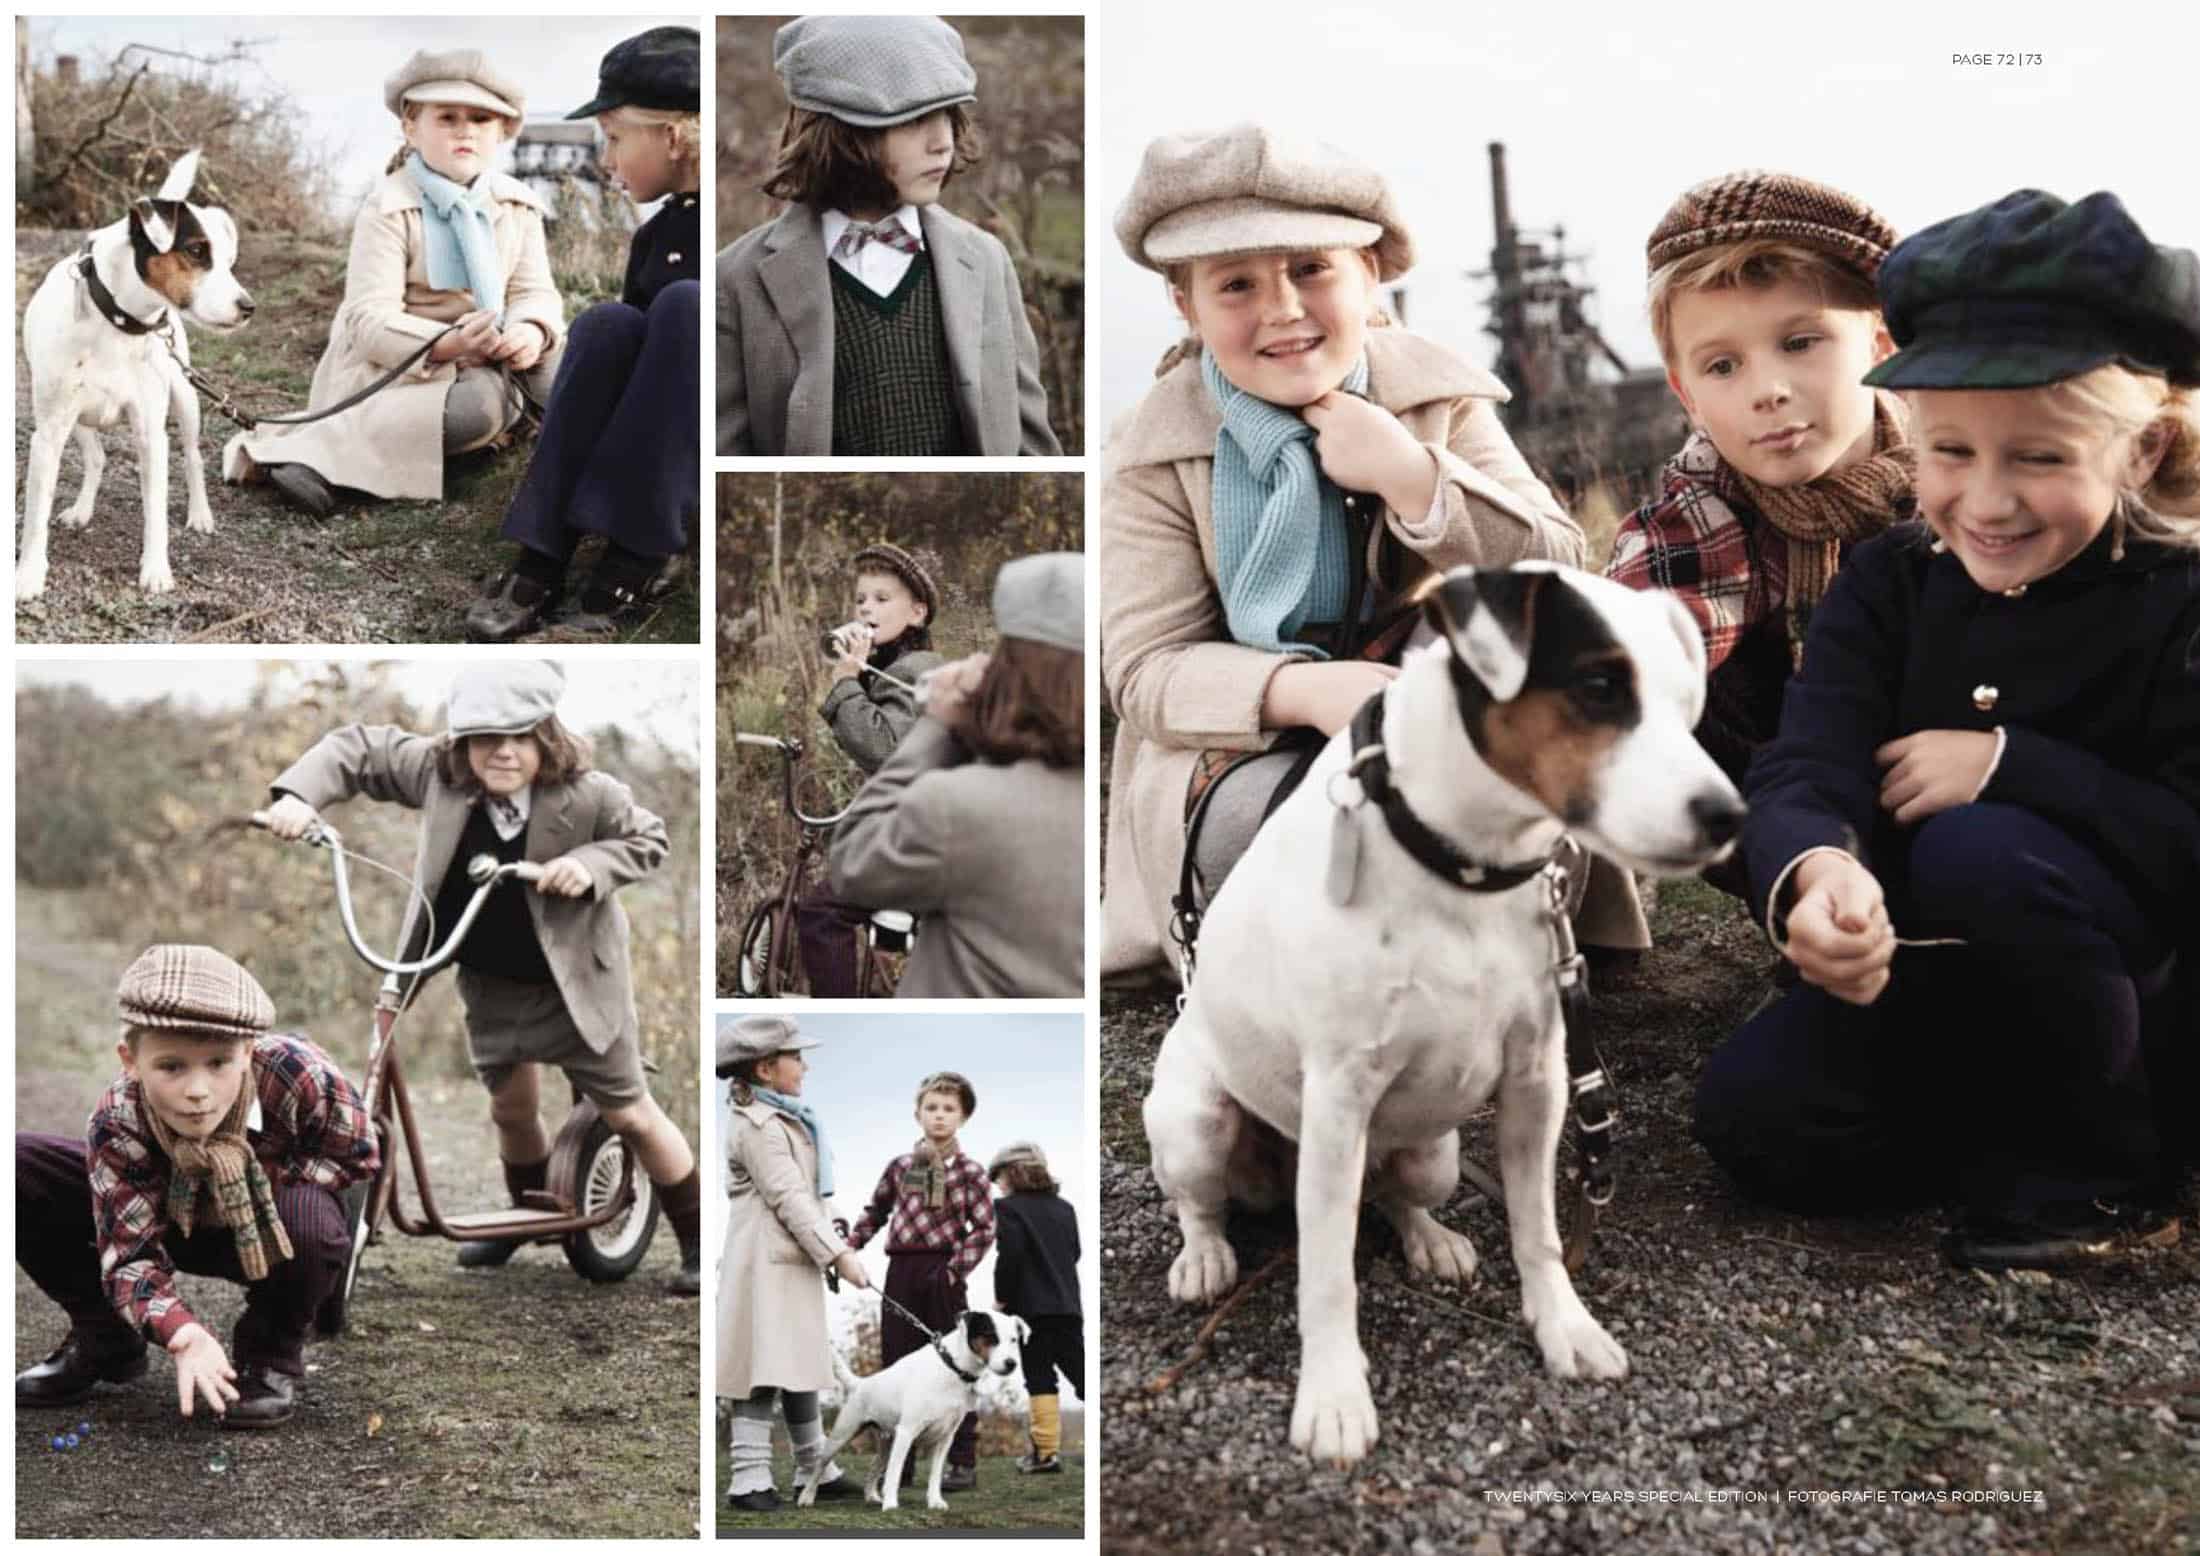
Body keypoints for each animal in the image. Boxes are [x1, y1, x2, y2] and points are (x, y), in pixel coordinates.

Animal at [15, 150, 253, 603]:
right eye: (196, 251)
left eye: (231, 264)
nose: (248, 307)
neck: (120, 321)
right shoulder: (50, 432)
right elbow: (36, 514)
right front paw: (29, 575)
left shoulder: (150, 434)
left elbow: (155, 511)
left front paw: (156, 570)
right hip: (78, 419)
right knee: (96, 457)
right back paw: (81, 510)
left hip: (186, 399)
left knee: (193, 458)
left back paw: (200, 514)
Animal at [1144, 567, 1742, 1470]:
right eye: (1599, 687)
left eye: (1687, 704)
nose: (1727, 816)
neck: (1464, 861)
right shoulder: (1337, 1100)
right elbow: (1327, 1276)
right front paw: (1333, 1398)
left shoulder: (1537, 1084)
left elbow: (1539, 1230)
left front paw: (1563, 1326)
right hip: (1200, 1122)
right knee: (1204, 1202)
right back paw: (1205, 1256)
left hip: (1436, 1153)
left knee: (1395, 1196)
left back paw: (1430, 1238)